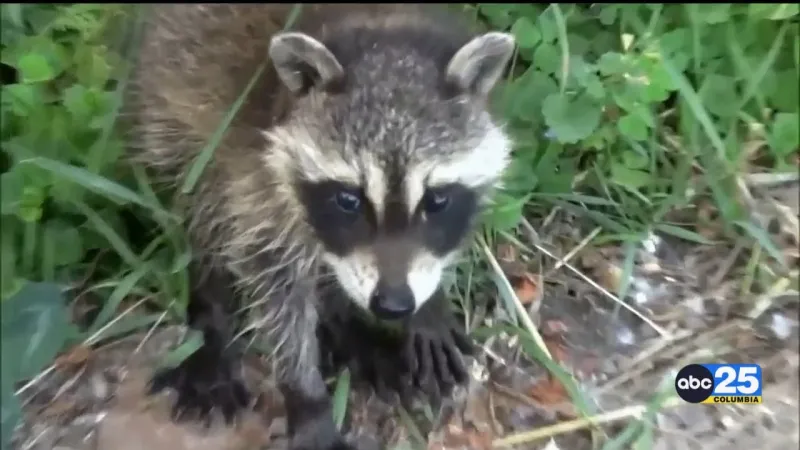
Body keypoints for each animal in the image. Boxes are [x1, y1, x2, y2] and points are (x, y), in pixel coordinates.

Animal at [126, 4, 515, 449]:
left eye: (436, 201)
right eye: (348, 200)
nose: (393, 304)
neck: (379, 27)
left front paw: (428, 307)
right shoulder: (253, 180)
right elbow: (277, 292)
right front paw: (306, 397)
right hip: (171, 115)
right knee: (202, 215)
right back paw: (213, 311)